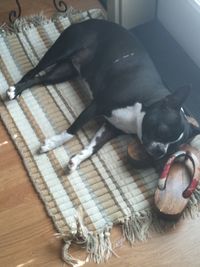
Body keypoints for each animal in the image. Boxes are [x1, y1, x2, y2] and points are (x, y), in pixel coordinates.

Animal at [6, 19, 200, 173]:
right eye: (162, 131)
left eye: (172, 148)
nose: (161, 151)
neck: (142, 109)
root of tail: (88, 20)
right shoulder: (96, 106)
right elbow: (72, 131)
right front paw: (53, 143)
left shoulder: (110, 127)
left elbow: (94, 147)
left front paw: (77, 159)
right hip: (62, 50)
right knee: (33, 71)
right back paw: (14, 90)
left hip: (63, 72)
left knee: (40, 78)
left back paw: (19, 90)